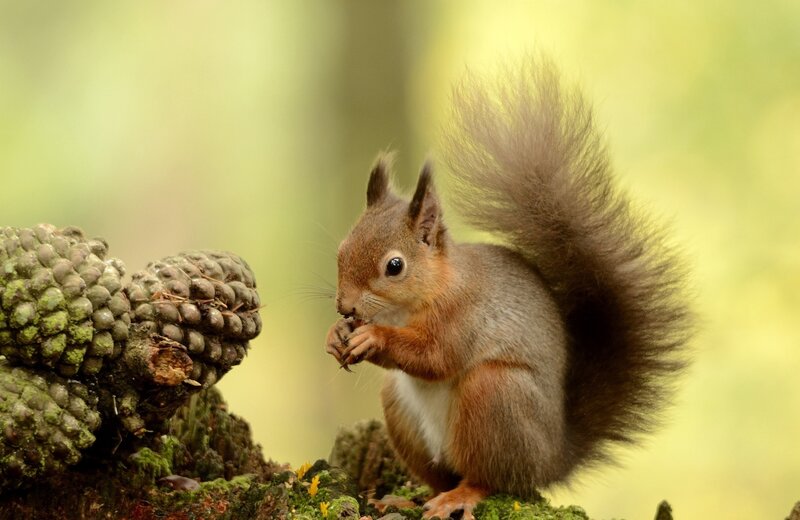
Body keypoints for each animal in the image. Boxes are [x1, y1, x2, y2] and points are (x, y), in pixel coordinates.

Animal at [325, 56, 692, 520]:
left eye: (395, 266)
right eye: (341, 250)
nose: (345, 307)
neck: (418, 299)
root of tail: (551, 458)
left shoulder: (463, 314)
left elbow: (435, 356)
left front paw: (373, 336)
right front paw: (336, 336)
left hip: (495, 395)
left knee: (490, 479)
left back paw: (460, 497)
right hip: (402, 409)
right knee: (440, 474)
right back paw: (409, 497)